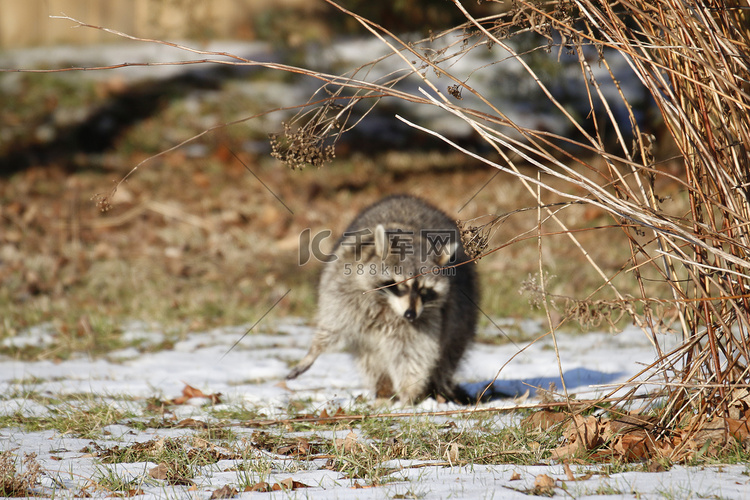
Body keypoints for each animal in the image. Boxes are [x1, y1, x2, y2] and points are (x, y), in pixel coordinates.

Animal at [288, 193, 482, 404]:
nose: (410, 315)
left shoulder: (430, 316)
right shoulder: (343, 287)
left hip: (461, 318)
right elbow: (333, 325)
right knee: (371, 361)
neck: (387, 304)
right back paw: (384, 391)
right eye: (401, 285)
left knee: (448, 354)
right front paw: (314, 350)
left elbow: (412, 352)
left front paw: (409, 392)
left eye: (424, 290)